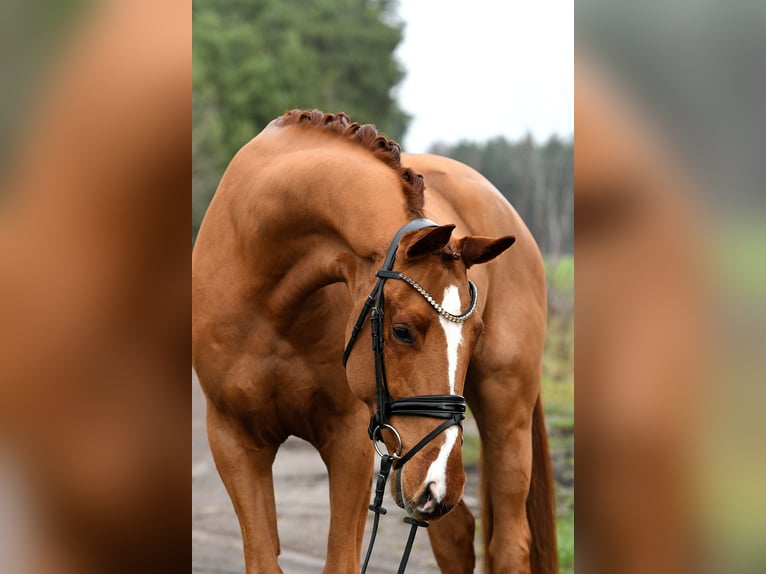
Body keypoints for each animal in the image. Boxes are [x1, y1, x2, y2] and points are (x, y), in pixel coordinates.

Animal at [192, 109, 557, 573]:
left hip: (501, 417)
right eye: (402, 330)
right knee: (456, 534)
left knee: (508, 546)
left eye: (476, 334)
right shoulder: (234, 440)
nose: (441, 482)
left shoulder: (349, 443)